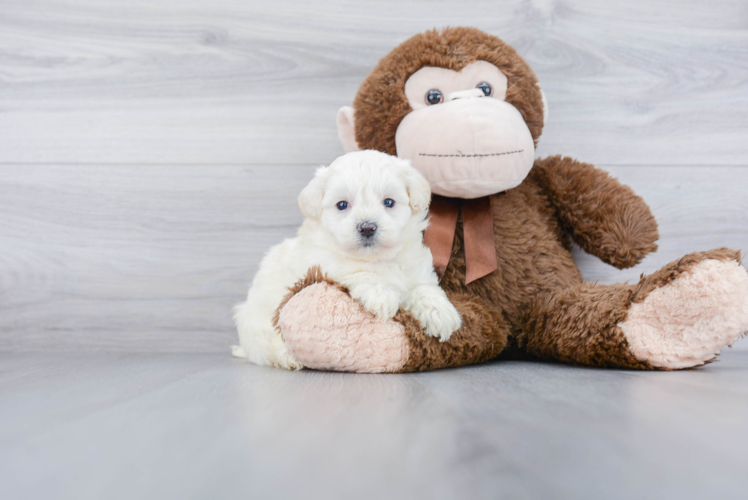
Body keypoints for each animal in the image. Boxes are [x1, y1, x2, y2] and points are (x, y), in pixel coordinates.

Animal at [234, 148, 458, 368]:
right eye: (342, 205)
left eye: (388, 202)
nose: (367, 227)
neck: (376, 259)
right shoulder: (322, 263)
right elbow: (355, 270)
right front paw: (381, 295)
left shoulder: (416, 269)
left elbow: (423, 288)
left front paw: (440, 312)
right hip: (258, 324)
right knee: (266, 348)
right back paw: (286, 358)